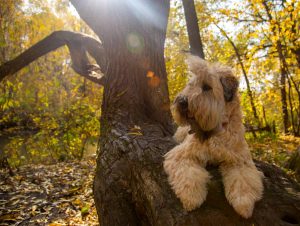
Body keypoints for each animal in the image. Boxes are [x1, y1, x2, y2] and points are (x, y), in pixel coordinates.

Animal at [163, 55, 264, 218]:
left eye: (206, 87)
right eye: (191, 85)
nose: (182, 101)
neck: (216, 131)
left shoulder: (239, 160)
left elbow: (243, 180)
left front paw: (244, 203)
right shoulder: (183, 154)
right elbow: (188, 174)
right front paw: (191, 197)